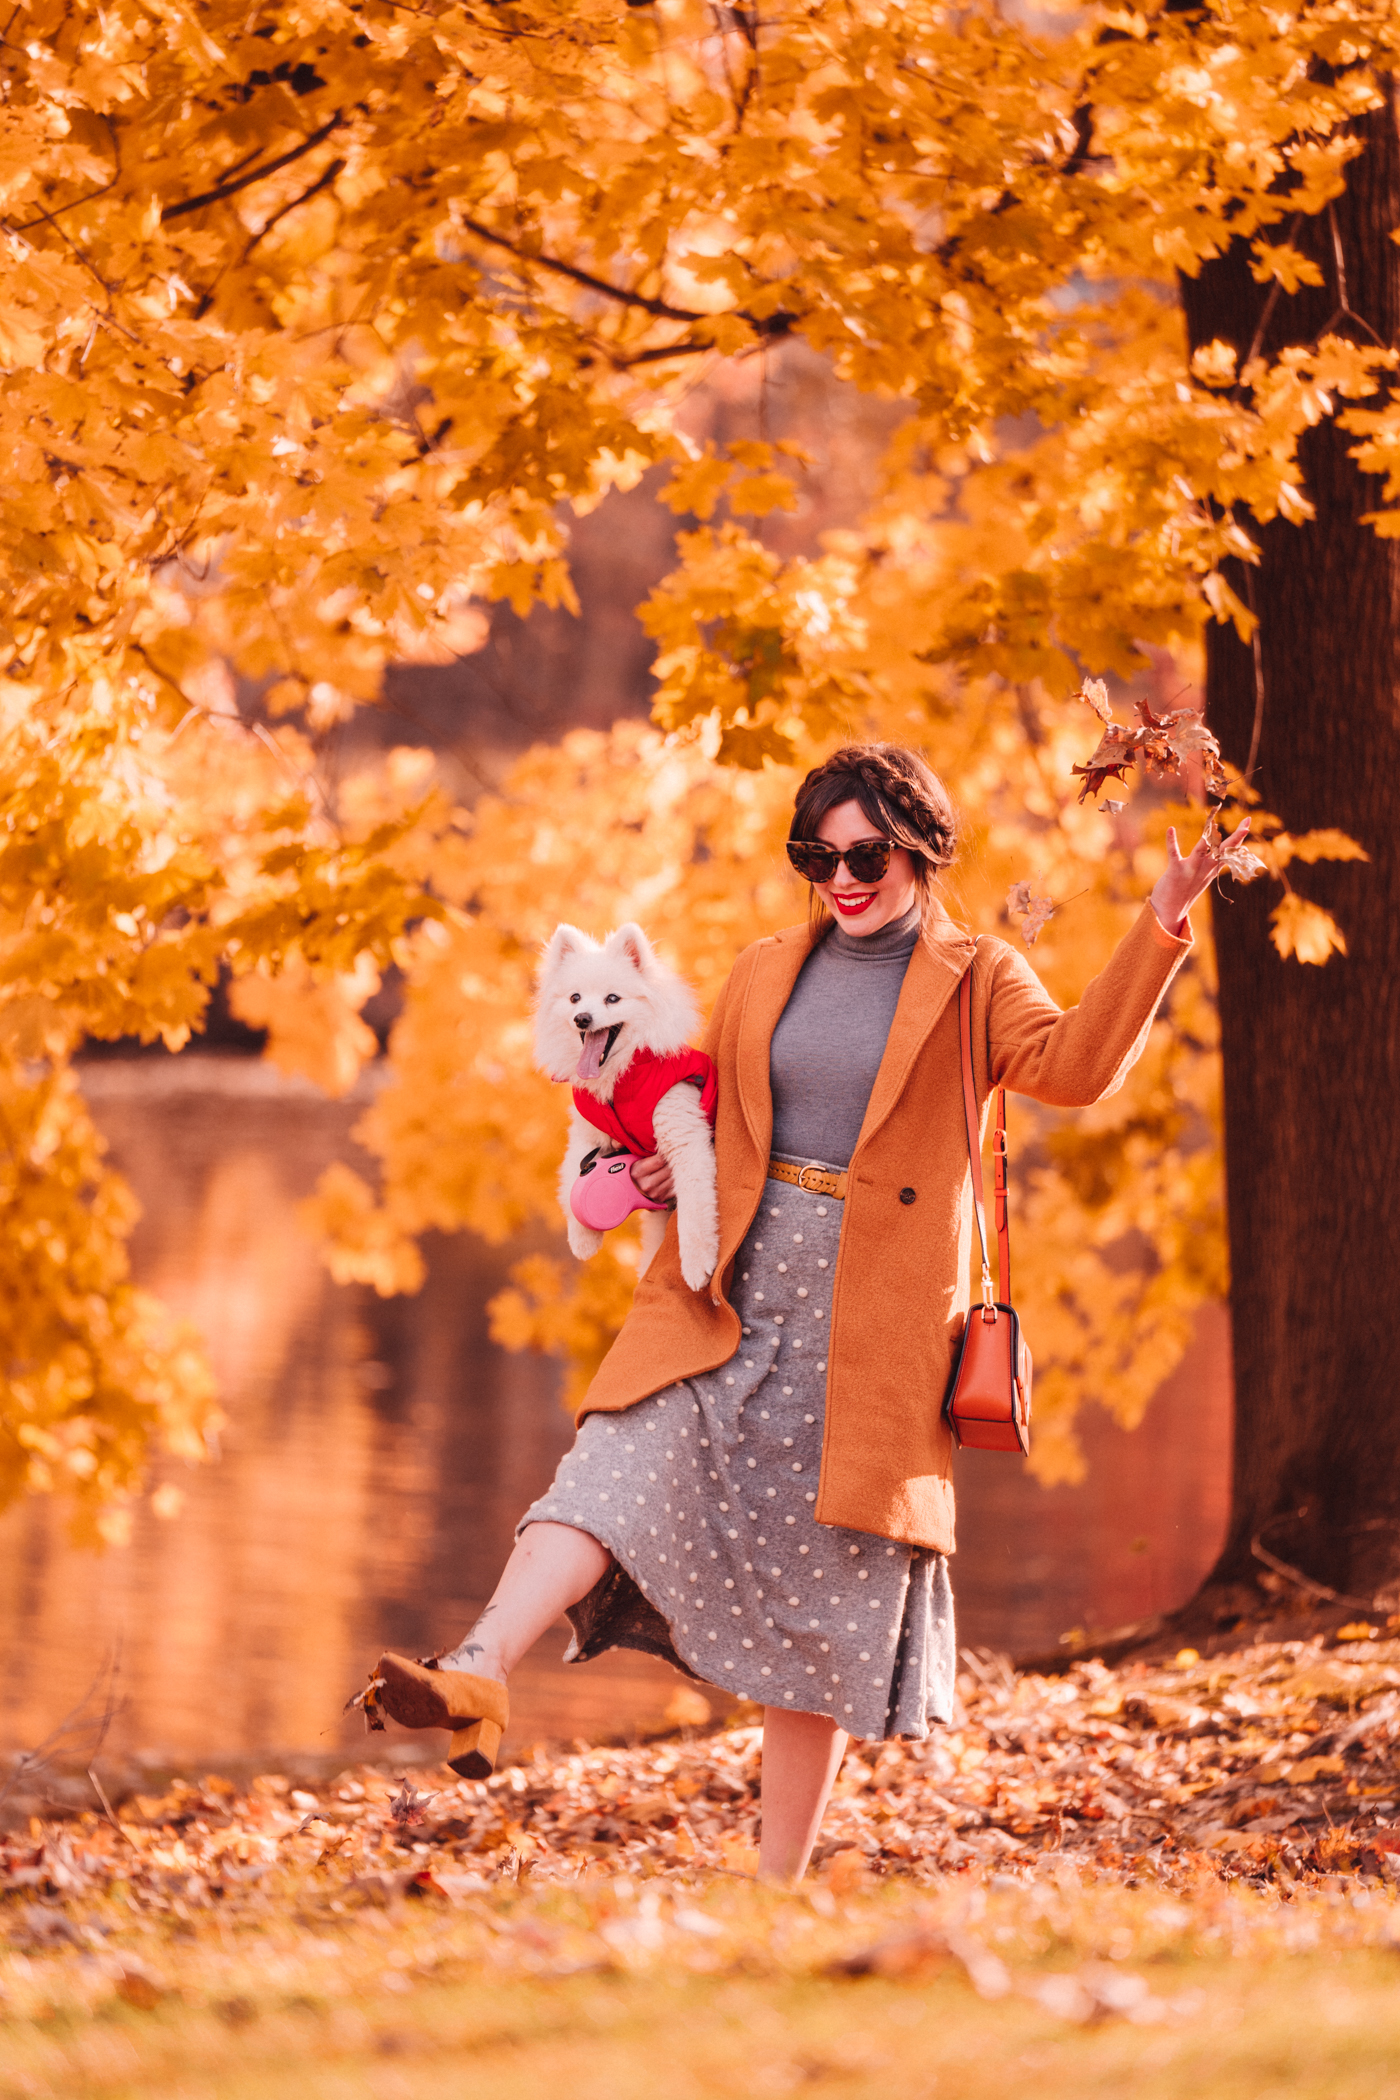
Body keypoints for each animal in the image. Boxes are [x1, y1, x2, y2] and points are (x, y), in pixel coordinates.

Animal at [537, 923, 722, 1293]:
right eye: (574, 998)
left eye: (612, 998)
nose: (582, 1018)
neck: (619, 1080)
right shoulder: (587, 1135)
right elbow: (572, 1180)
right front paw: (583, 1240)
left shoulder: (685, 1139)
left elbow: (694, 1214)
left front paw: (697, 1266)